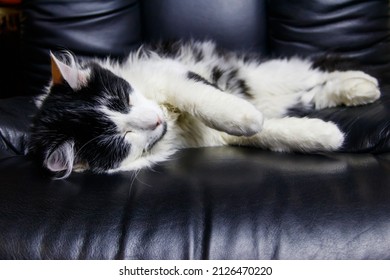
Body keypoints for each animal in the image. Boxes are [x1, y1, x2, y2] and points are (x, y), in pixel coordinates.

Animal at [28, 40, 380, 178]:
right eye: (121, 139)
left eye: (121, 100)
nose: (155, 121)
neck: (172, 121)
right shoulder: (215, 137)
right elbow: (272, 132)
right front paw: (326, 136)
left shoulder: (171, 73)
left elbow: (202, 97)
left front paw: (246, 116)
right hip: (279, 92)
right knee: (311, 92)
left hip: (270, 74)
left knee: (314, 73)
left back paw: (363, 85)